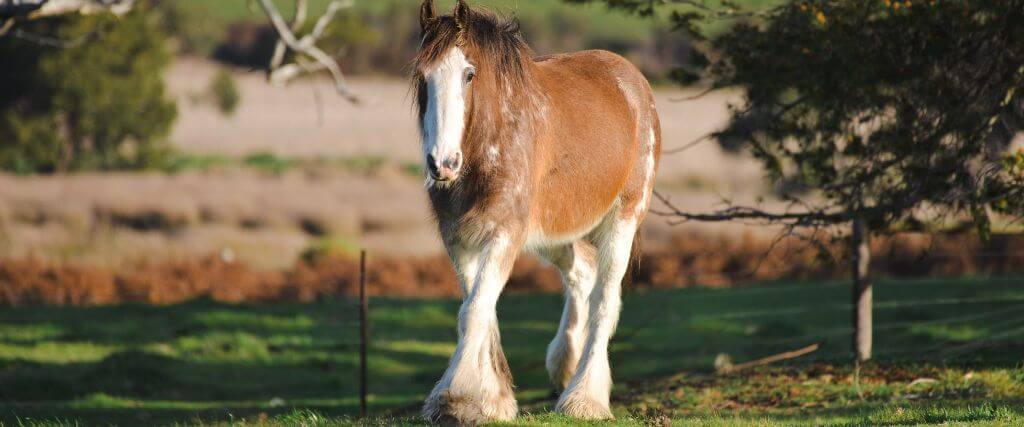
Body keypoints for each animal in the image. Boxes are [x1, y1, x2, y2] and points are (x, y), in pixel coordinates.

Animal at [413, 1, 661, 424]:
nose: (441, 164)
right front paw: (493, 399)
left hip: (624, 220)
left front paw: (454, 400)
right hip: (555, 233)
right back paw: (565, 366)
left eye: (468, 74)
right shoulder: (459, 238)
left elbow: (474, 310)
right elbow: (478, 308)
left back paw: (584, 399)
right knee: (582, 274)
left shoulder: (505, 234)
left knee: (605, 301)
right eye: (422, 77)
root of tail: (633, 80)